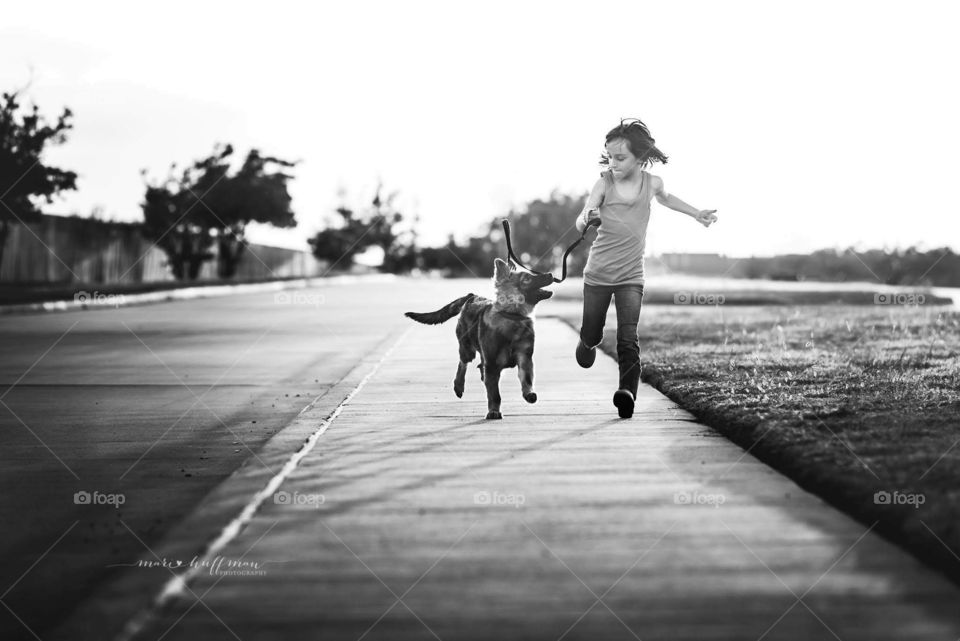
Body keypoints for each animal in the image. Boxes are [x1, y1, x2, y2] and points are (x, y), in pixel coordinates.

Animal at [404, 258, 556, 418]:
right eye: (526, 279)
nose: (551, 274)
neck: (512, 315)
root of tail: (472, 296)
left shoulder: (524, 357)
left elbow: (526, 378)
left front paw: (529, 393)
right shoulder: (492, 365)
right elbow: (494, 394)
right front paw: (494, 411)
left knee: (479, 367)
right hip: (467, 350)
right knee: (463, 364)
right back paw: (459, 385)